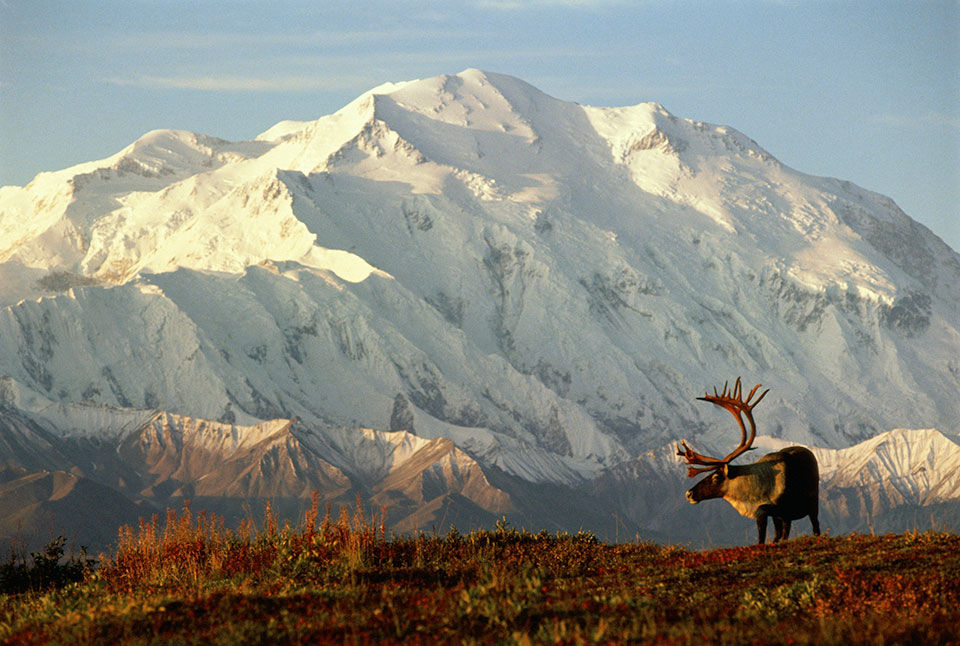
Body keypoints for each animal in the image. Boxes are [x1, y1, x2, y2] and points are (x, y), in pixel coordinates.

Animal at [677, 378, 820, 544]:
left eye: (716, 477)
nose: (689, 493)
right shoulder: (766, 513)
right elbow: (768, 539)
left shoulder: (783, 511)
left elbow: (774, 538)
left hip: (812, 504)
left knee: (816, 527)